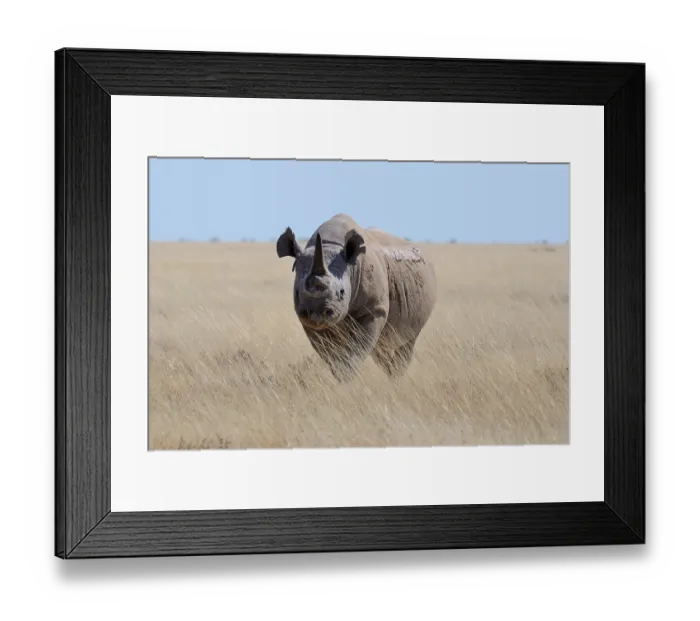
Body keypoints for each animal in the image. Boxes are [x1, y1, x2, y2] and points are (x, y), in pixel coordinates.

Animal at [276, 213, 437, 381]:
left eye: (341, 292)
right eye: (297, 292)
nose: (317, 313)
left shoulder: (374, 309)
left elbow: (357, 350)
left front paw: (346, 379)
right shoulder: (307, 321)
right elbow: (329, 353)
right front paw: (341, 377)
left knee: (407, 340)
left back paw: (396, 378)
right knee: (382, 348)